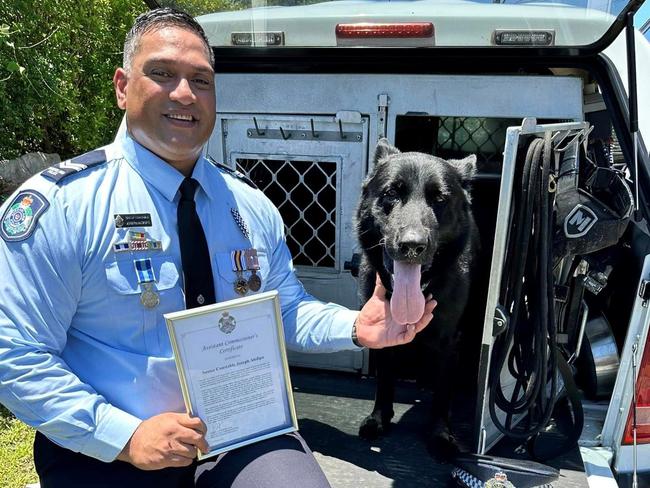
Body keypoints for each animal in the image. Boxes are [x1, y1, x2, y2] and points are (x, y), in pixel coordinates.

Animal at [354, 138, 476, 462]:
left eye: (440, 199)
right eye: (391, 194)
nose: (412, 245)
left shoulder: (449, 342)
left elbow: (442, 394)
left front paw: (441, 435)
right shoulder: (383, 339)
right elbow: (384, 380)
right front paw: (379, 419)